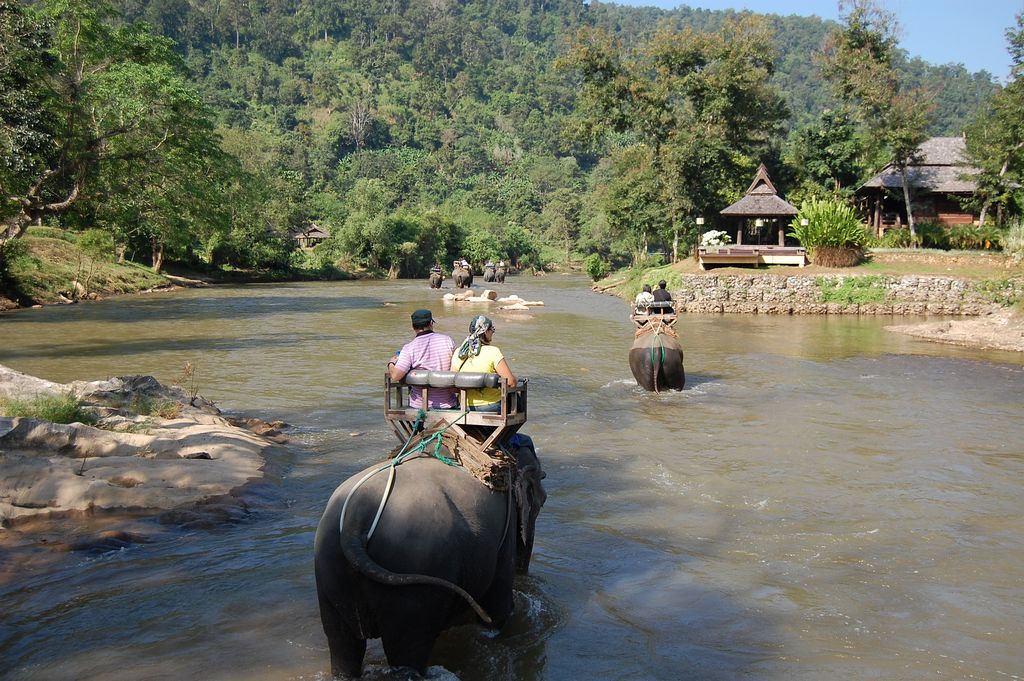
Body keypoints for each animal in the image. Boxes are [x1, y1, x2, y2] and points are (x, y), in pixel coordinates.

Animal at [314, 434, 546, 678]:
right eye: (543, 501)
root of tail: (354, 520)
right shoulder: (504, 532)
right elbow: (498, 607)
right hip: (413, 581)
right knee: (408, 651)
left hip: (329, 569)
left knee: (342, 645)